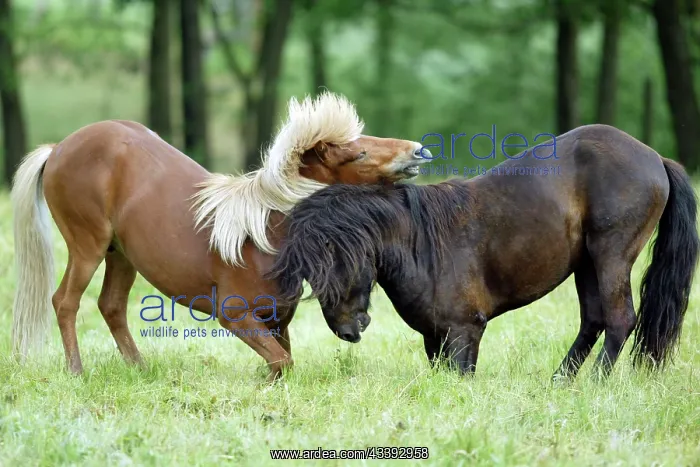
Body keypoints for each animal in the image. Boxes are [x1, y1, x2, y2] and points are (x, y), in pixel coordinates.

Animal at [11, 91, 430, 381]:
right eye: (359, 154)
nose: (420, 151)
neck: (263, 235)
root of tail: (58, 148)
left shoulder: (277, 319)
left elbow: (283, 363)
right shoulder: (235, 315)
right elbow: (282, 361)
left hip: (122, 254)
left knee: (111, 306)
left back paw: (140, 370)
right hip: (88, 246)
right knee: (65, 302)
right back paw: (77, 371)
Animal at [268, 124, 699, 379]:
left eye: (336, 266)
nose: (347, 331)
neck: (421, 242)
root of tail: (654, 157)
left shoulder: (465, 333)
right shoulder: (435, 339)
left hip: (611, 255)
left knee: (619, 320)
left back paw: (594, 382)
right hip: (588, 263)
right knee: (593, 320)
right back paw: (560, 381)